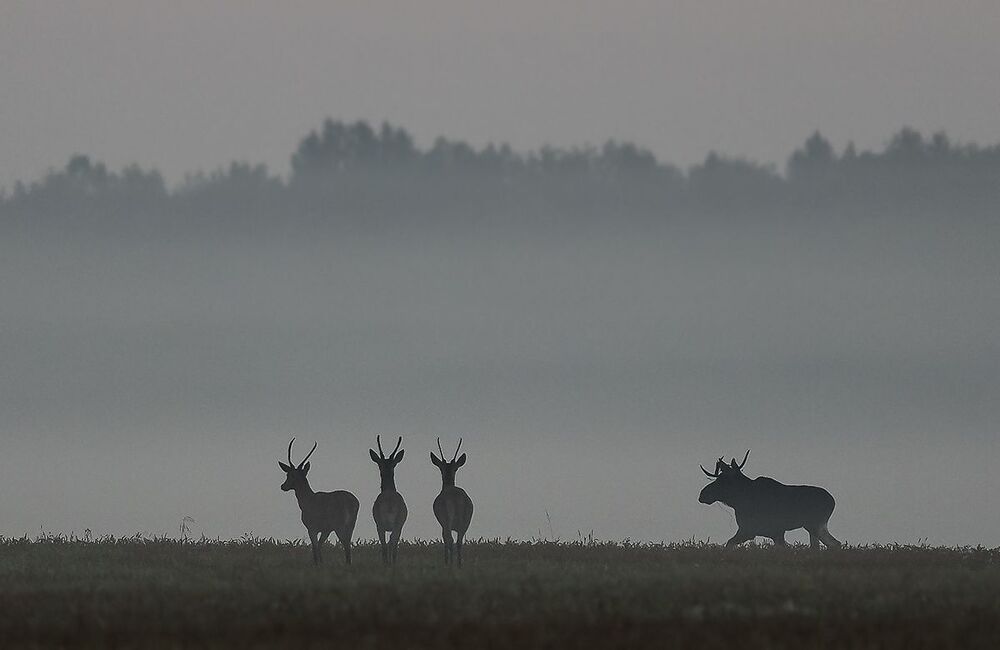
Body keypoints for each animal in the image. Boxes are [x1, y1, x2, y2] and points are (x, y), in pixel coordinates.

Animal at [369, 435, 408, 566]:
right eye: (380, 464)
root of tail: (390, 504)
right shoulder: (399, 525)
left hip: (382, 523)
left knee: (386, 544)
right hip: (393, 523)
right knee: (390, 543)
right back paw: (389, 563)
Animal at [430, 437, 474, 567]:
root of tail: (458, 499)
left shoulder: (442, 523)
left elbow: (445, 539)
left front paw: (446, 561)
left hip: (447, 518)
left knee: (450, 539)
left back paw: (450, 564)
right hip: (467, 519)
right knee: (459, 541)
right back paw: (459, 564)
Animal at [699, 450, 842, 549]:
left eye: (724, 480)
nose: (702, 494)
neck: (739, 502)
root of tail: (833, 501)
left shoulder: (750, 530)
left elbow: (729, 544)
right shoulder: (773, 533)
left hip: (814, 524)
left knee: (835, 543)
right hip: (814, 526)